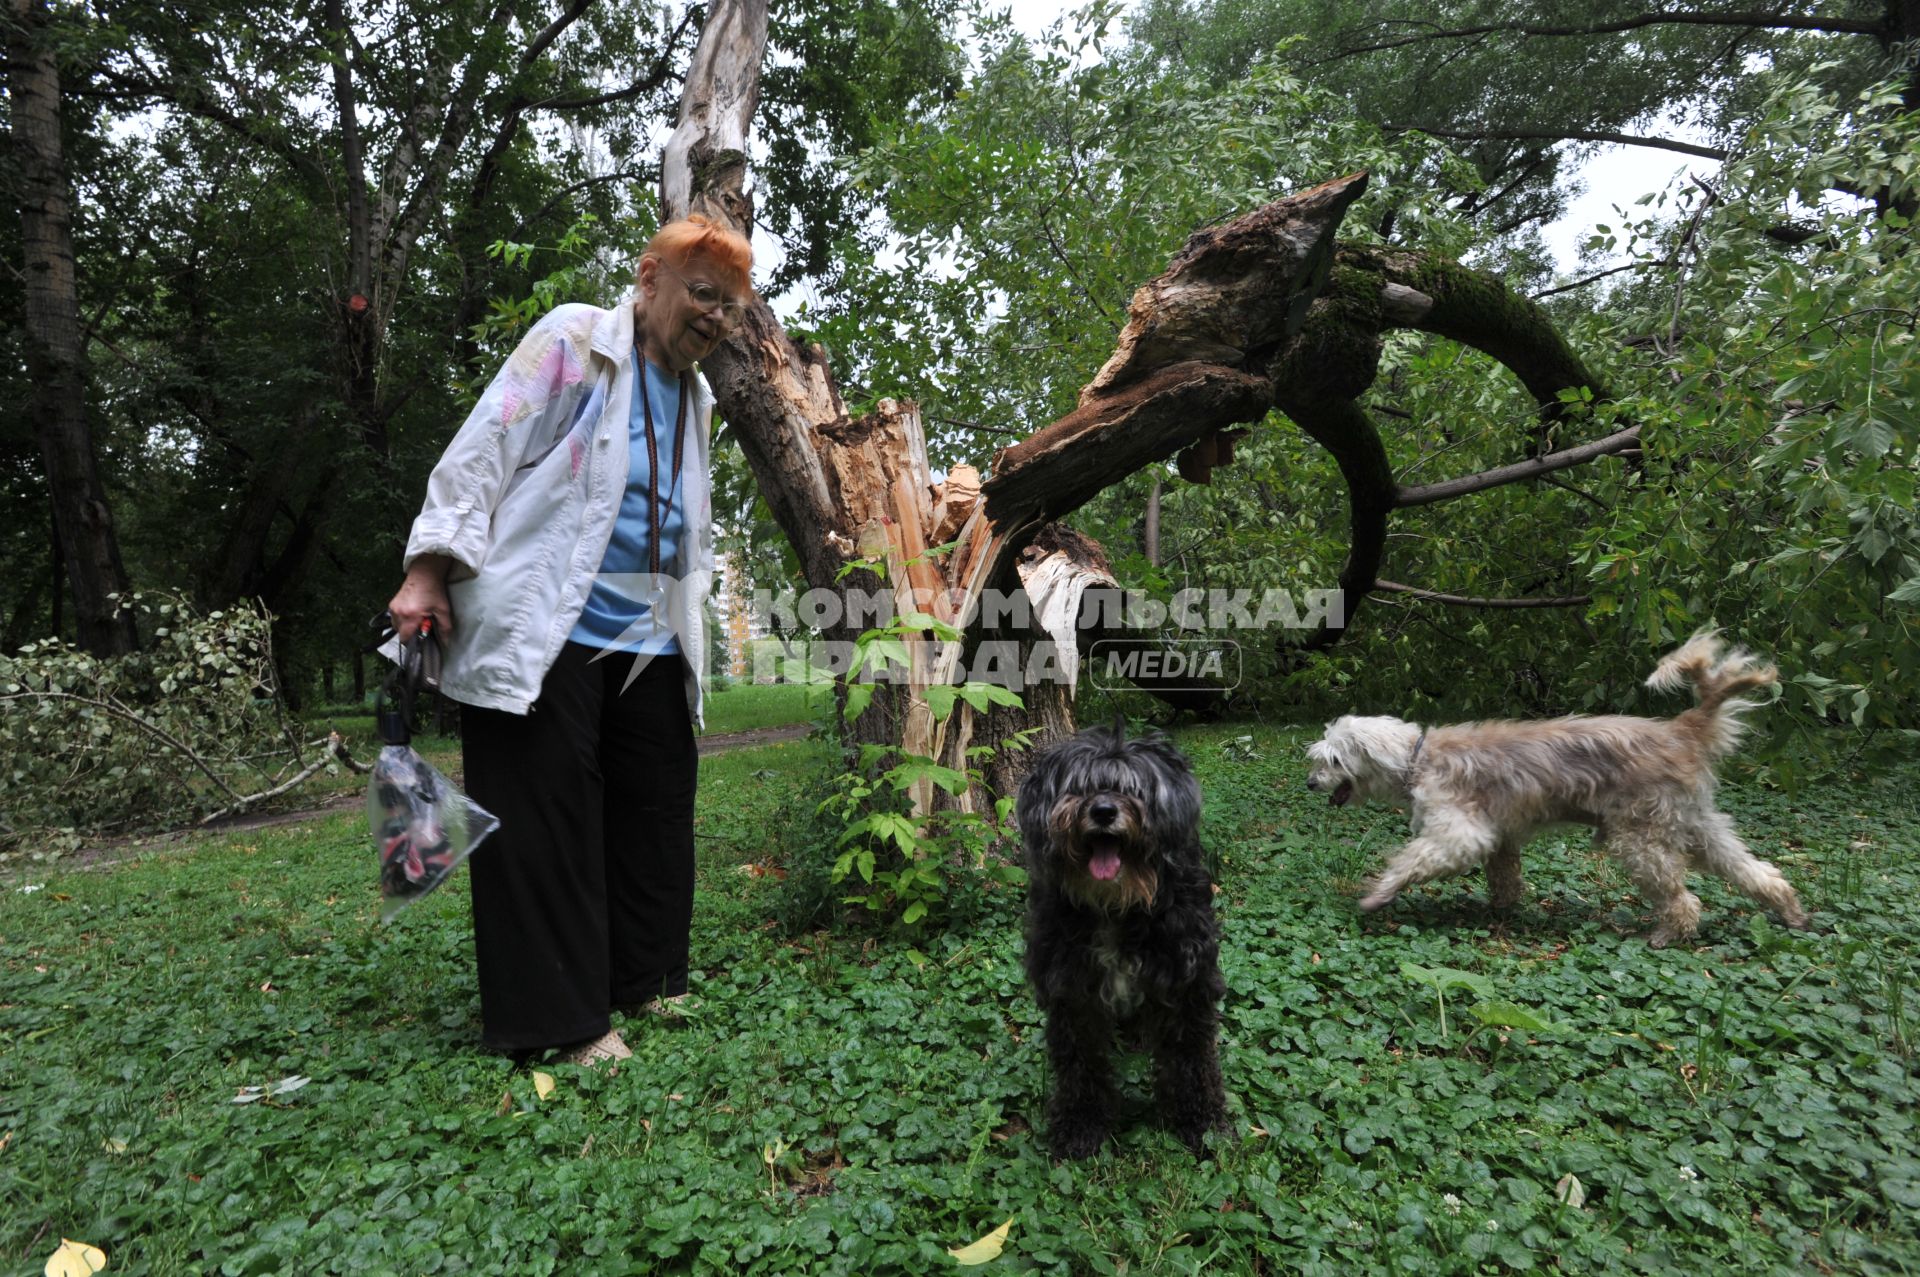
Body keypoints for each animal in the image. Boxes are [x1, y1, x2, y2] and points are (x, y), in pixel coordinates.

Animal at [1021, 725, 1228, 1152]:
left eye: (1132, 788)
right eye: (1079, 787)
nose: (1102, 811)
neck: (1115, 906)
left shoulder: (1187, 983)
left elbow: (1192, 1059)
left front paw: (1202, 1122)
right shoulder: (1072, 991)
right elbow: (1080, 1066)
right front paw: (1081, 1125)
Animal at [1297, 633, 1804, 940]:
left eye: (1332, 760)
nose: (1309, 782)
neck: (1417, 757)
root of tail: (1683, 729)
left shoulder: (1458, 832)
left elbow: (1409, 862)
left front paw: (1378, 894)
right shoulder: (1499, 837)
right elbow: (1504, 877)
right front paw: (1501, 910)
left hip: (1640, 839)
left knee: (1684, 897)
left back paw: (1667, 934)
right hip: (1698, 828)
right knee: (1757, 871)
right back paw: (1790, 910)